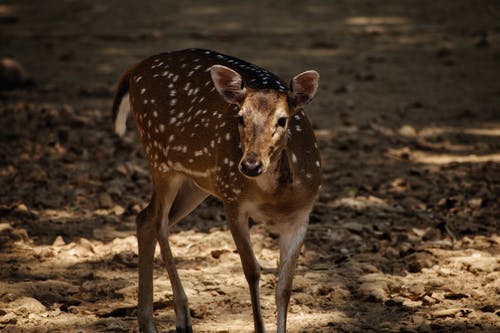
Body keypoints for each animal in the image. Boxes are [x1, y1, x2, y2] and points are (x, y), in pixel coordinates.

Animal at [112, 47, 322, 332]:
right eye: (240, 117)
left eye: (282, 120)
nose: (250, 165)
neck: (274, 197)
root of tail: (134, 70)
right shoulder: (232, 201)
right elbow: (252, 270)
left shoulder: (301, 214)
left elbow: (285, 286)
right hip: (160, 159)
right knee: (158, 222)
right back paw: (182, 316)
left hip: (196, 184)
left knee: (144, 218)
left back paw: (147, 323)